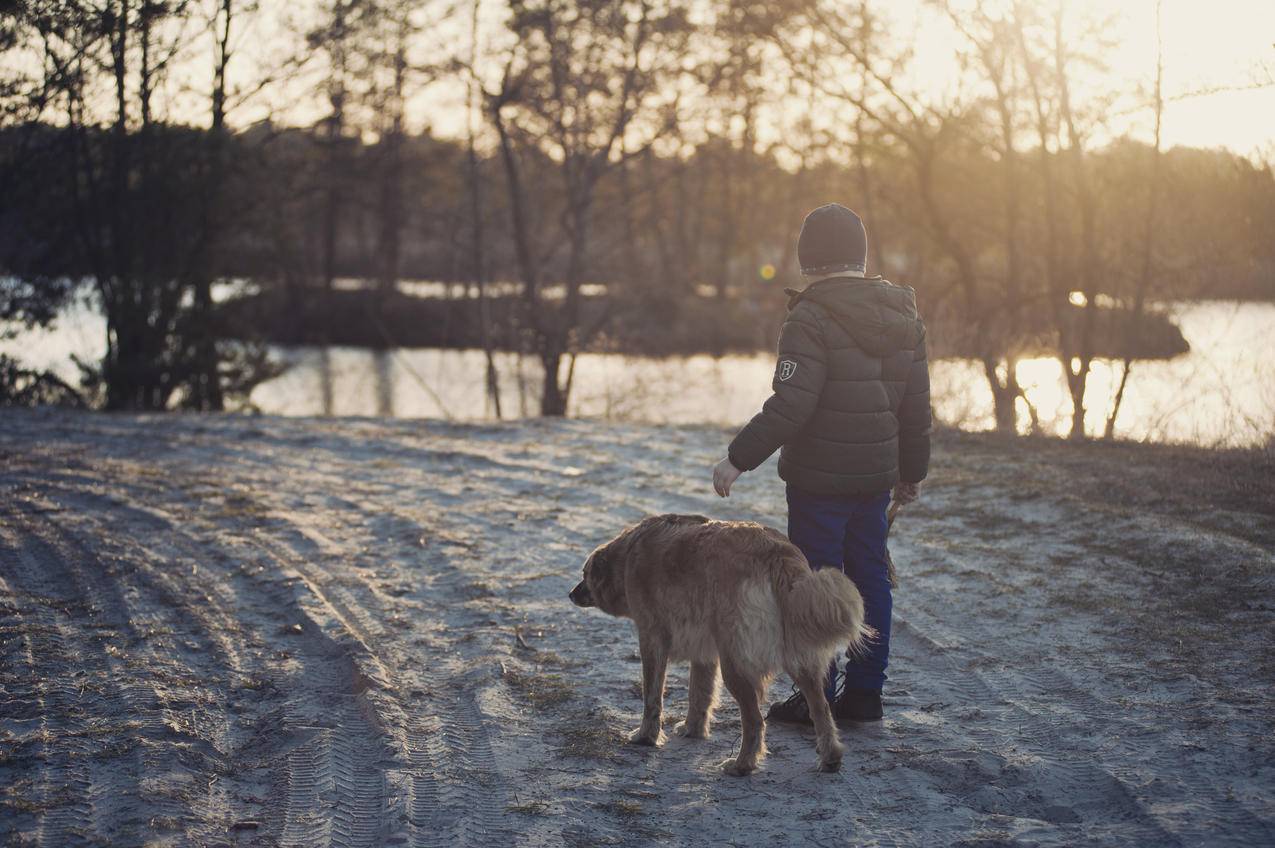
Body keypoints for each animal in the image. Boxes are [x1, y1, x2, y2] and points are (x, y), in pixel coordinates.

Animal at [573, 510, 872, 775]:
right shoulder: (704, 653)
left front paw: (646, 736)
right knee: (822, 710)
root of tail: (776, 553)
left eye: (584, 574)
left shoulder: (651, 637)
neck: (628, 556)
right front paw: (693, 730)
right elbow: (699, 694)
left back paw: (742, 765)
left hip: (736, 664)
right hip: (799, 660)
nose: (570, 594)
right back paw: (830, 758)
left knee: (755, 722)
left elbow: (652, 697)